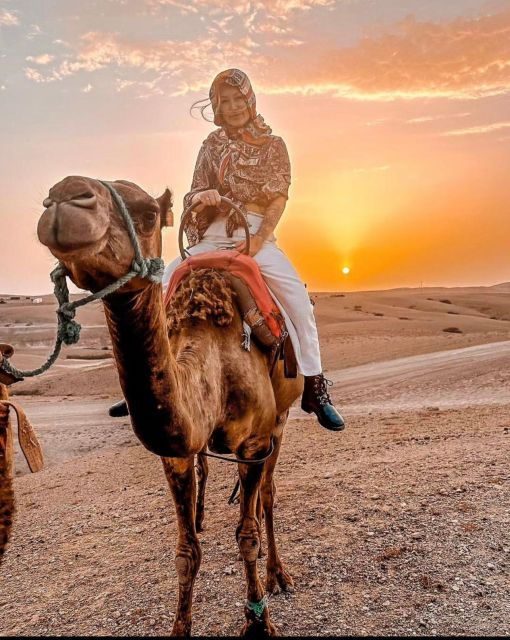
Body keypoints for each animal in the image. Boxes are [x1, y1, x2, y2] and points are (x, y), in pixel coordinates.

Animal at [37, 175, 303, 636]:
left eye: (147, 216)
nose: (66, 196)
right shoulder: (175, 453)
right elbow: (186, 552)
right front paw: (182, 624)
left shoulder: (255, 440)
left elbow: (247, 534)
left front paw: (259, 621)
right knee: (215, 473)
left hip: (281, 419)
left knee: (268, 495)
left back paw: (277, 575)